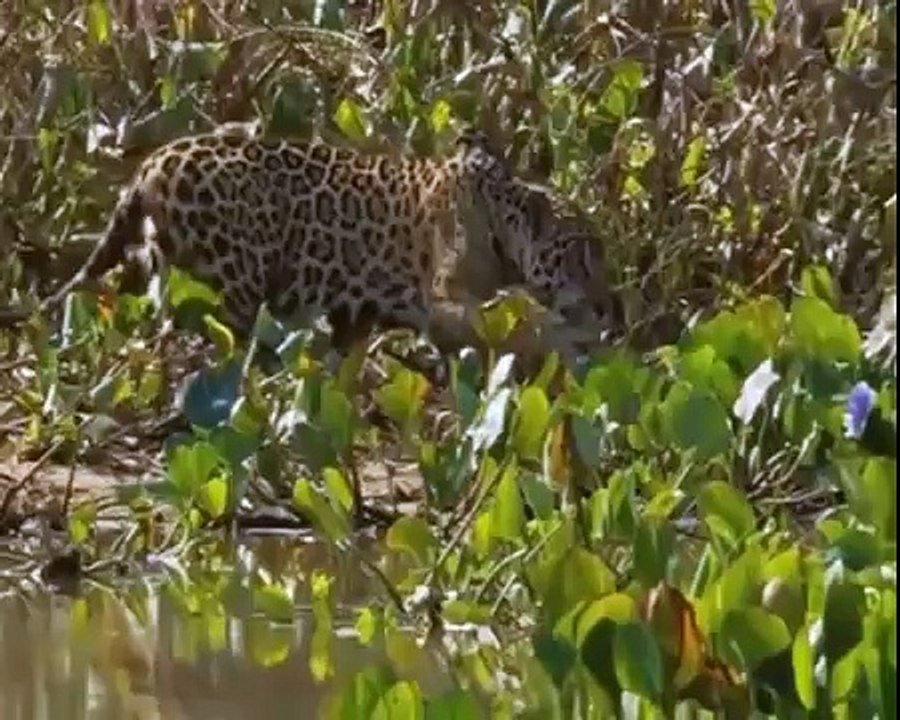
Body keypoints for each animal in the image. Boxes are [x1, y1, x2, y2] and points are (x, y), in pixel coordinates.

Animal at [0, 127, 616, 368]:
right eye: (582, 252)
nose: (609, 302)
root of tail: (150, 164)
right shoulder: (449, 301)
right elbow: (521, 323)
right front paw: (580, 344)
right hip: (231, 282)